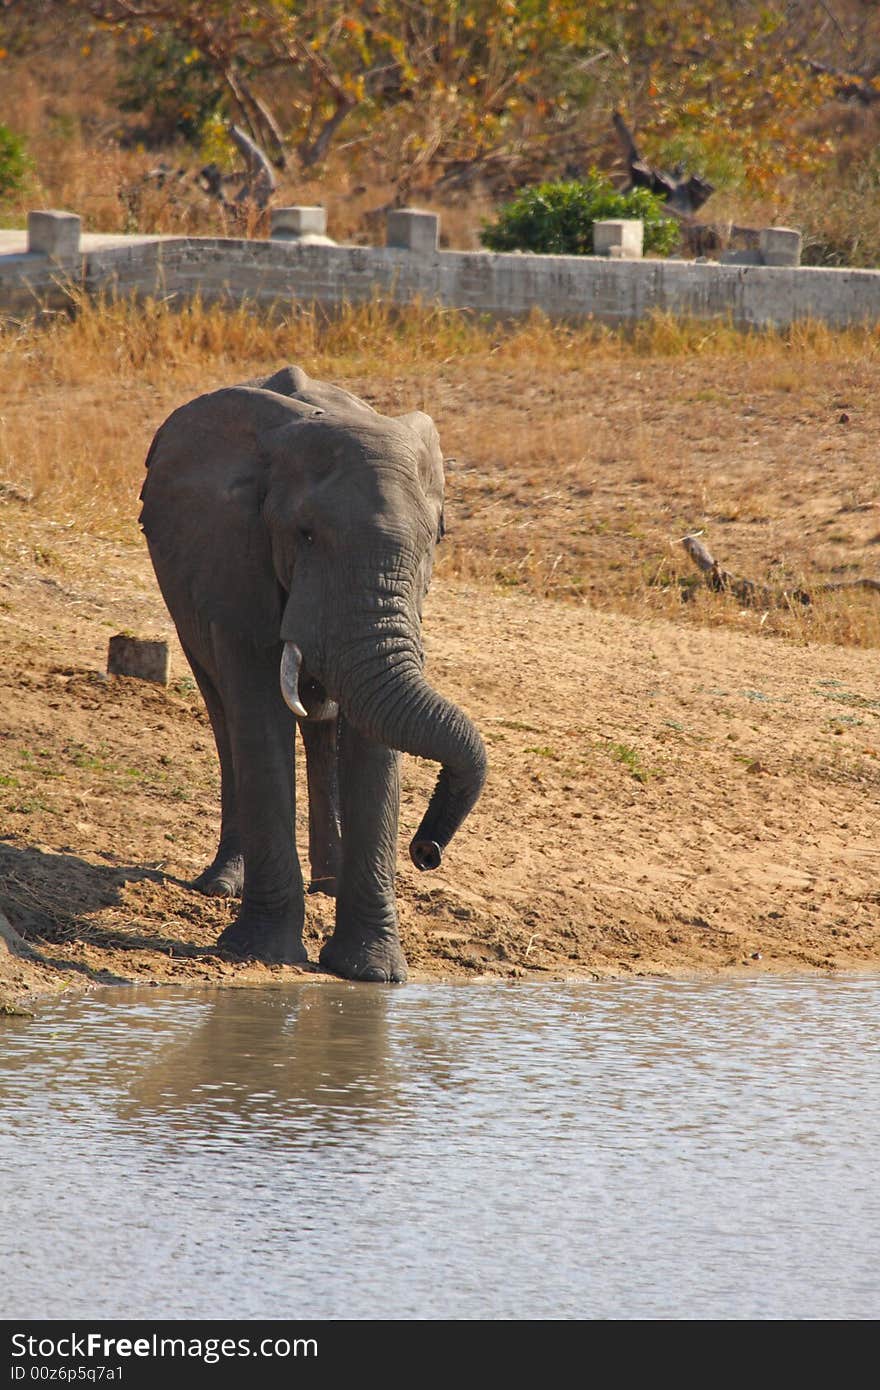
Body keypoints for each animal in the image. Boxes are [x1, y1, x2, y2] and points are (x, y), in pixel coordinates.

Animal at [140, 364, 492, 984]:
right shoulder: (235, 560)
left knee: (323, 722)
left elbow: (375, 736)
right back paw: (224, 885)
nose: (427, 852)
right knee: (225, 716)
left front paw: (372, 973)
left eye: (434, 541)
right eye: (304, 534)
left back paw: (327, 883)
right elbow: (258, 714)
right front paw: (260, 952)